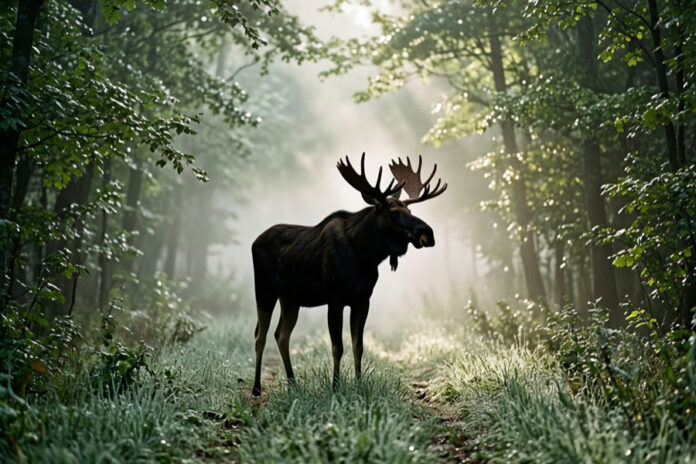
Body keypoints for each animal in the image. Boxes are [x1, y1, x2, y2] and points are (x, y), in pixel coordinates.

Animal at [251, 153, 447, 396]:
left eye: (411, 211)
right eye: (394, 213)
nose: (428, 233)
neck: (365, 257)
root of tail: (254, 241)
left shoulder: (362, 299)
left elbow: (358, 345)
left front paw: (358, 383)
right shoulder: (334, 298)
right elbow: (338, 347)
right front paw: (335, 387)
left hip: (291, 299)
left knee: (281, 335)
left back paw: (293, 384)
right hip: (264, 289)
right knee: (260, 336)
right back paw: (256, 388)